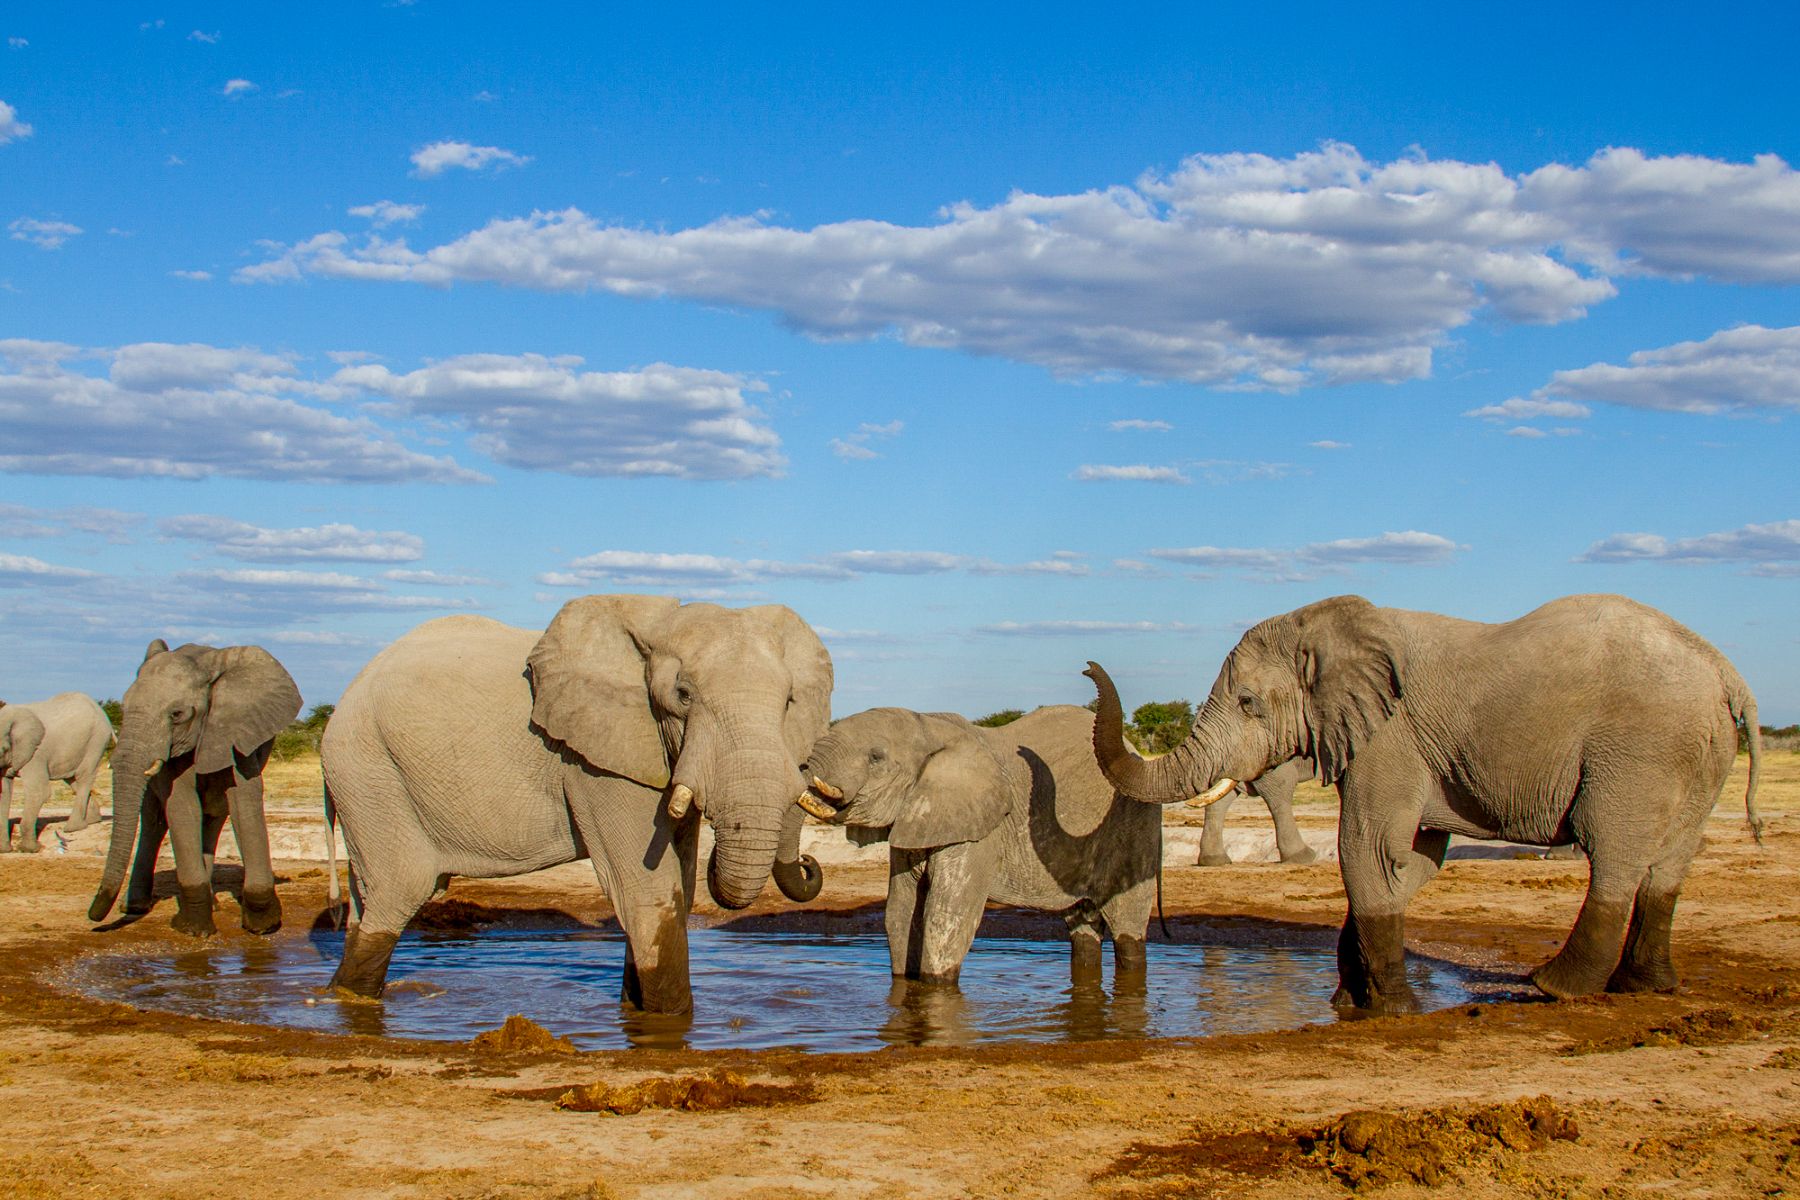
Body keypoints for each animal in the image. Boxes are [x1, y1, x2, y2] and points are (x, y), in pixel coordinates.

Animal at [0, 693, 114, 852]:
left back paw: (73, 828)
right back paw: (92, 820)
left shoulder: (36, 754)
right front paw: (5, 850)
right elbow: (3, 794)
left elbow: (39, 792)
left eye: (3, 749)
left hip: (97, 741)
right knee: (73, 779)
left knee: (83, 776)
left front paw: (30, 850)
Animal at [87, 640, 302, 937]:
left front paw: (262, 925)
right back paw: (136, 907)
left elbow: (244, 803)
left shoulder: (236, 731)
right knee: (154, 823)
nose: (93, 917)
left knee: (212, 820)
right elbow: (181, 807)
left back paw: (212, 904)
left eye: (177, 715)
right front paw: (193, 929)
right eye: (125, 708)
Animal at [319, 597, 833, 1012]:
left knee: (368, 896)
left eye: (789, 701)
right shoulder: (596, 762)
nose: (809, 864)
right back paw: (352, 999)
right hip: (367, 766)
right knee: (399, 890)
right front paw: (669, 1022)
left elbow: (679, 889)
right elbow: (648, 892)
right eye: (683, 696)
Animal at [796, 705, 1161, 985]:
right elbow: (899, 912)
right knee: (1082, 927)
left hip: (1134, 826)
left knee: (1128, 926)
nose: (805, 860)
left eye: (876, 757)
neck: (932, 726)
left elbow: (946, 915)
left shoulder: (982, 827)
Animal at [1085, 593, 1763, 1013]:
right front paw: (1351, 1001)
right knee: (1670, 864)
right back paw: (1644, 988)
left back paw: (1557, 988)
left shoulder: (1392, 735)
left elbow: (1368, 849)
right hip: (1701, 753)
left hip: (1641, 750)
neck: (1328, 626)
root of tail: (1730, 675)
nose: (1090, 666)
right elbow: (1411, 862)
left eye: (1249, 702)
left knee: (1616, 852)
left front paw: (1390, 1009)